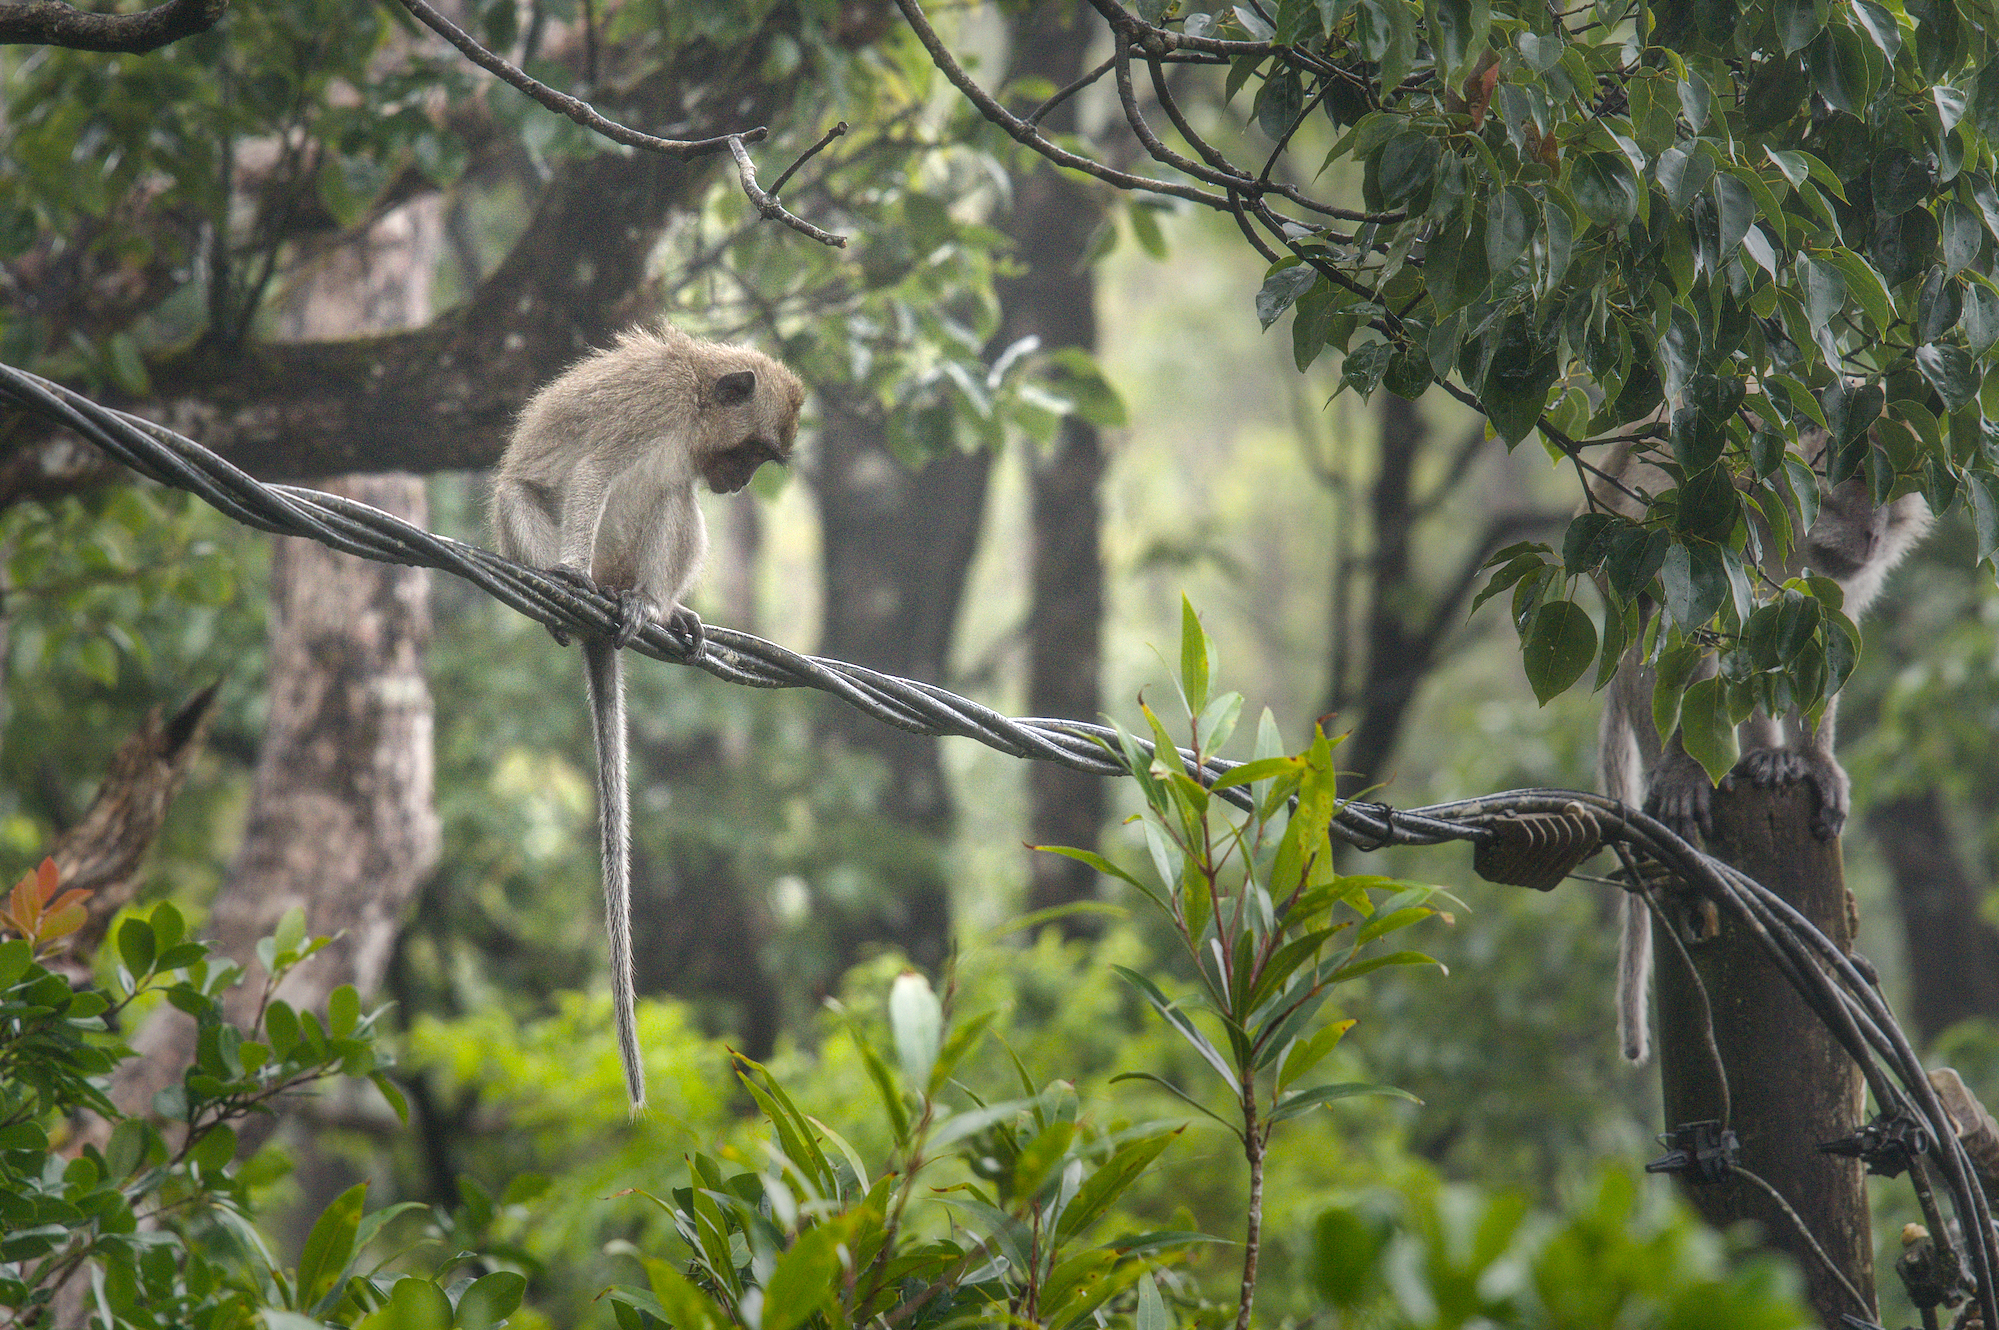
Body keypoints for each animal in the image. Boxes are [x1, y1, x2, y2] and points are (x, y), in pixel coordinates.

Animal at [491, 323, 805, 1111]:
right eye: (754, 452)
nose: (744, 484)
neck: (692, 404)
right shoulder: (646, 409)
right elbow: (593, 472)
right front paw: (568, 570)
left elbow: (671, 494)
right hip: (533, 533)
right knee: (527, 494)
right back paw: (574, 600)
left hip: (634, 559)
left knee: (674, 502)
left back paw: (654, 609)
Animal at [1592, 435, 1931, 1064]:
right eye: (1851, 483)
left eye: (1890, 492)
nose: (1874, 533)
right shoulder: (1700, 504)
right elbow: (1668, 615)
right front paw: (1681, 769)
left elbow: (1824, 629)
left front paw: (1816, 762)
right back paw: (1683, 766)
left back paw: (1768, 758)